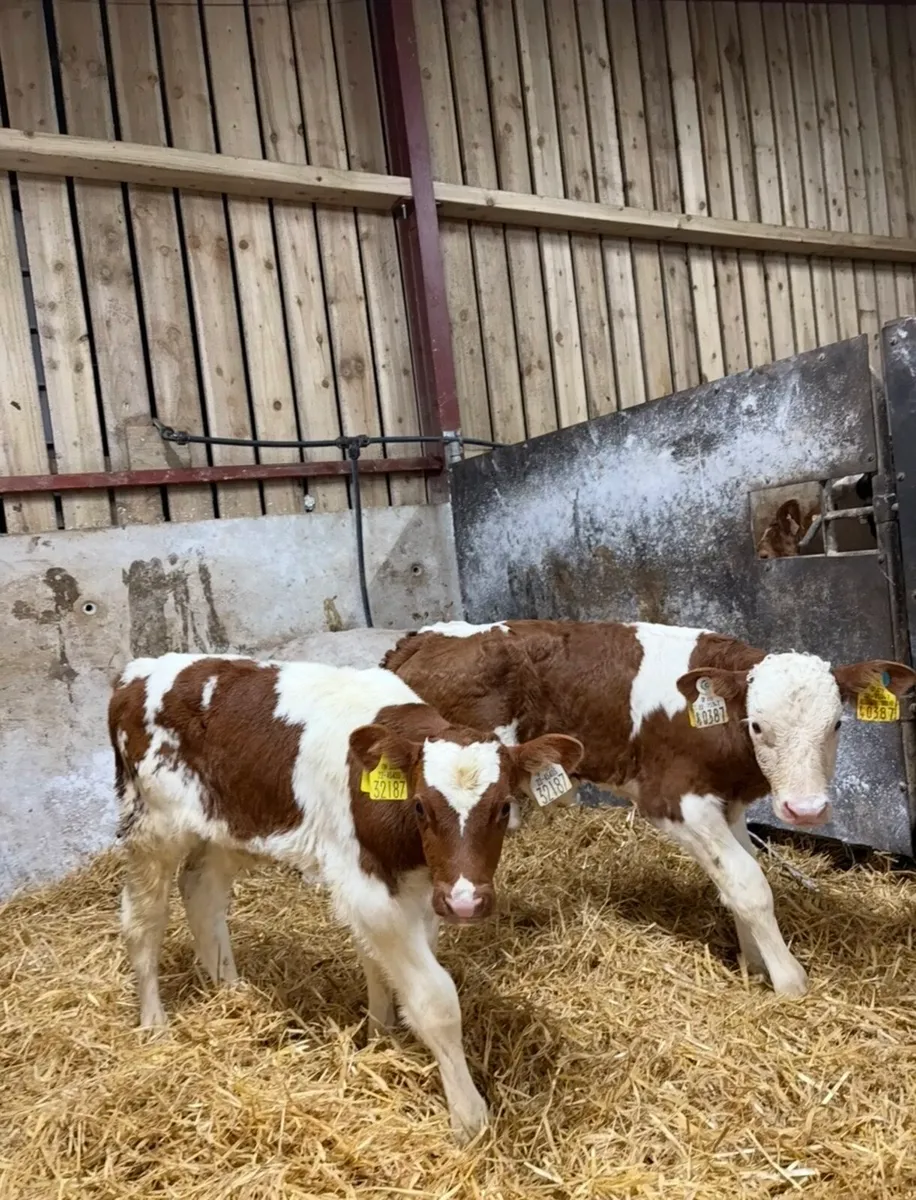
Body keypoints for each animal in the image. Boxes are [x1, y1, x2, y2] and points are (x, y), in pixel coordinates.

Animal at [108, 652, 582, 1141]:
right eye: (421, 806)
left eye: (504, 806)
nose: (466, 902)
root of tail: (136, 673)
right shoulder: (368, 888)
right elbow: (435, 1000)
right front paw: (470, 1120)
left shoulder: (423, 891)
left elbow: (380, 966)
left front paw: (380, 1038)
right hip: (153, 826)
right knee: (142, 920)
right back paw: (155, 1025)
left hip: (228, 827)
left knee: (202, 891)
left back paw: (233, 995)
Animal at [382, 621, 916, 998]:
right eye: (758, 725)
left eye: (837, 724)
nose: (805, 809)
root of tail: (420, 639)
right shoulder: (674, 798)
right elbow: (750, 884)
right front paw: (788, 980)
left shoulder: (729, 805)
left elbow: (738, 878)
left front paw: (754, 964)